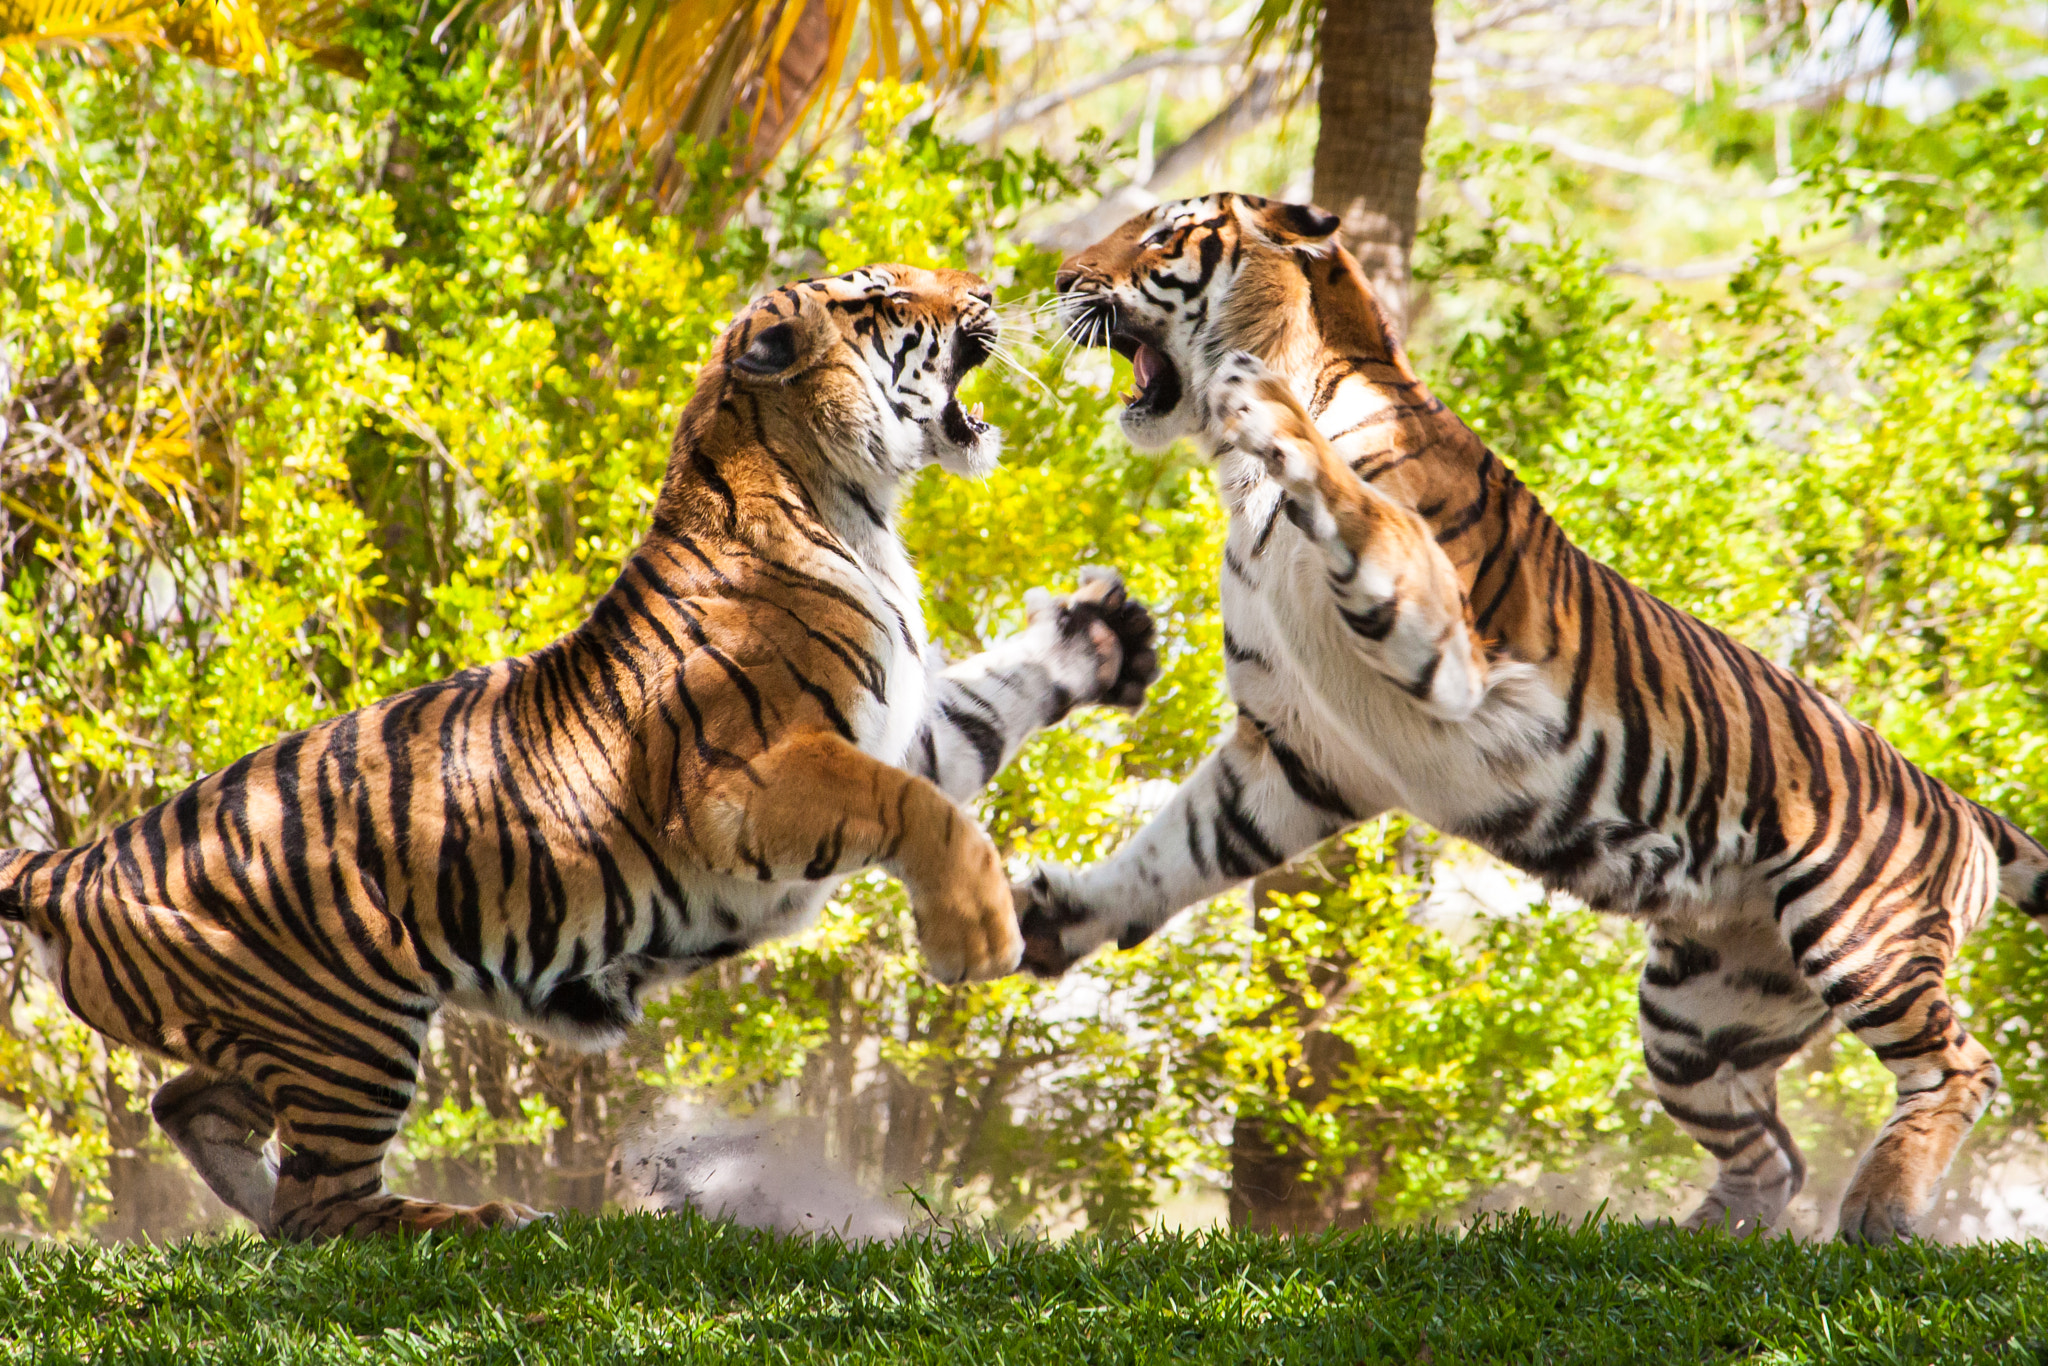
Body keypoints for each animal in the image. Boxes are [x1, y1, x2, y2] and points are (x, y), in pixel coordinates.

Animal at [0, 264, 1158, 1241]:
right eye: (883, 301)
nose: (991, 289)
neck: (853, 505)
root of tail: (71, 860)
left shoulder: (899, 732)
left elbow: (985, 716)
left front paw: (1106, 639)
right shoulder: (743, 787)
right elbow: (931, 812)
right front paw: (977, 937)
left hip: (275, 1030)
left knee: (195, 1110)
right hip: (352, 1020)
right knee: (321, 1207)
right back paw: (486, 1220)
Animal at [1012, 192, 2048, 1244]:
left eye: (1158, 236)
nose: (1058, 276)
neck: (1236, 475)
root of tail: (1960, 804)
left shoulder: (1437, 638)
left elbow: (1355, 501)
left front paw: (1265, 406)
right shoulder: (1296, 751)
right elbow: (1174, 848)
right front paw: (1051, 916)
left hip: (1856, 933)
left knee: (1960, 1066)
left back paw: (1881, 1206)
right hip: (1695, 1015)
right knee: (1774, 1152)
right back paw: (1700, 1234)